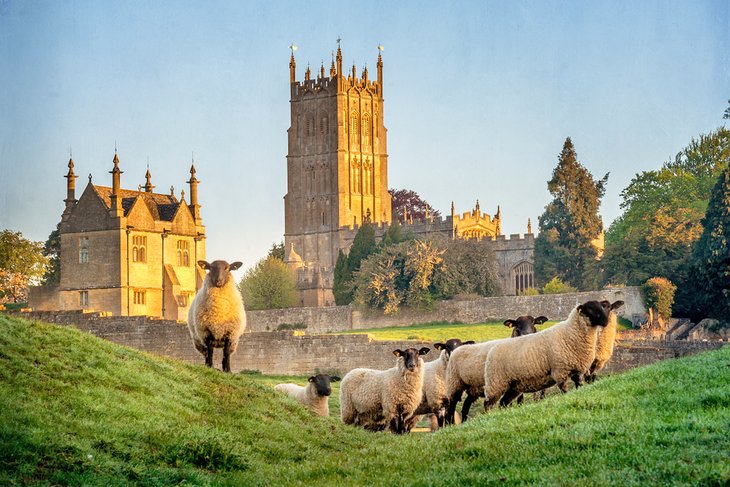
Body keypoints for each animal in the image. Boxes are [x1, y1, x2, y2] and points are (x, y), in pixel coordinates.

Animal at [480, 302, 612, 408]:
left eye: (534, 322)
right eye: (517, 324)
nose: (606, 321)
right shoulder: (560, 371)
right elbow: (564, 390)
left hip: (513, 384)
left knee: (504, 401)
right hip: (497, 383)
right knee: (490, 403)